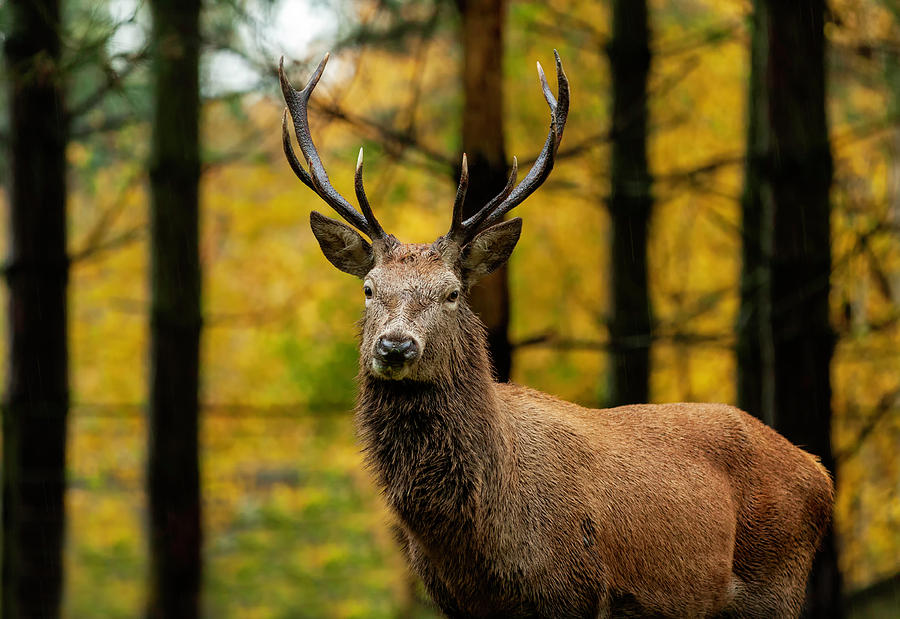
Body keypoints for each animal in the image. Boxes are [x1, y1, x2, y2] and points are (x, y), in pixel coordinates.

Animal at [278, 53, 832, 619]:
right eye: (369, 288)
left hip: (775, 588)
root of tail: (819, 473)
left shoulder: (575, 592)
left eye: (452, 292)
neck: (482, 546)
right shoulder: (453, 601)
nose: (394, 346)